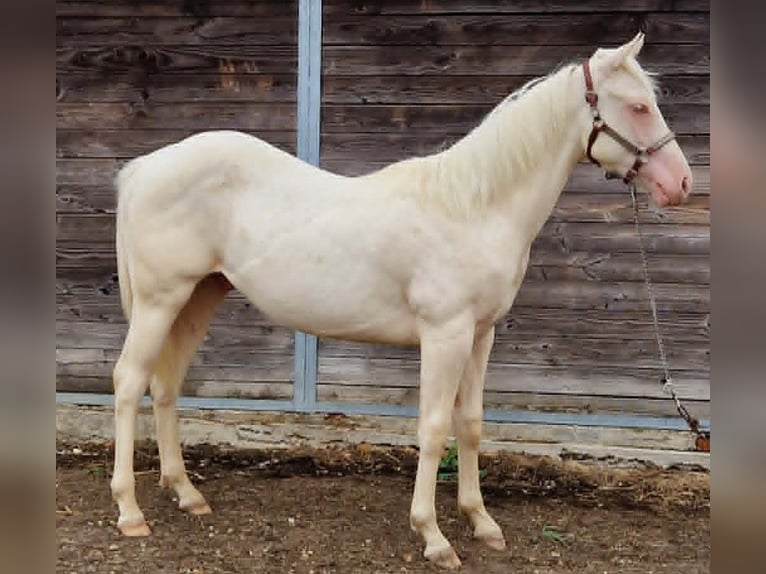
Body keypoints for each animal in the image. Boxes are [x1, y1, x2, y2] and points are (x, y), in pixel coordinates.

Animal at [107, 32, 692, 568]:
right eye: (638, 106)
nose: (682, 183)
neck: (474, 207)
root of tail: (145, 168)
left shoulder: (481, 334)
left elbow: (470, 423)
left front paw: (482, 522)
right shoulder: (445, 334)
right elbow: (433, 428)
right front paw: (433, 536)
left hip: (197, 298)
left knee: (165, 386)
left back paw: (187, 494)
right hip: (162, 300)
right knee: (129, 382)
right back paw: (131, 511)